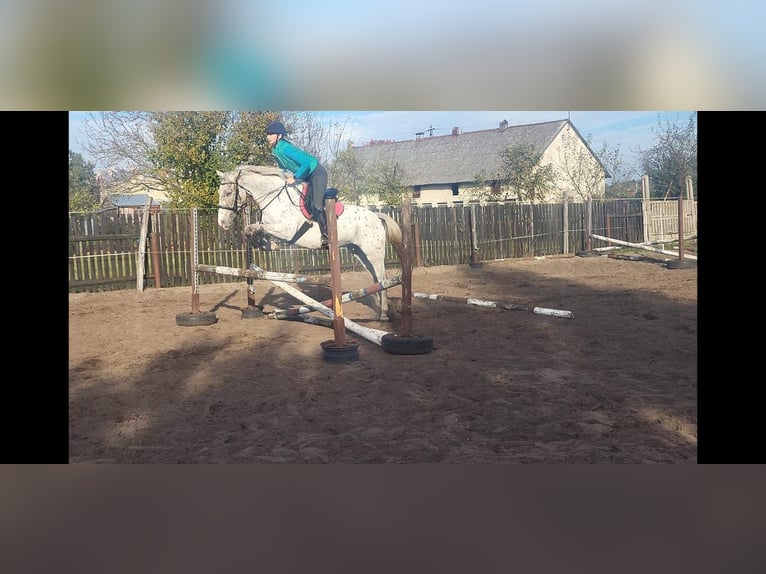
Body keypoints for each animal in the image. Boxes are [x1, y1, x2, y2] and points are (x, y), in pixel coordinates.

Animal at [218, 165, 402, 324]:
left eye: (228, 192)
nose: (222, 223)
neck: (274, 198)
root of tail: (376, 216)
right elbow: (251, 229)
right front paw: (265, 244)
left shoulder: (287, 231)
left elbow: (254, 228)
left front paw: (268, 244)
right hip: (359, 253)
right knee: (375, 279)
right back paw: (380, 308)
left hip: (373, 253)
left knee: (381, 277)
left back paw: (384, 314)